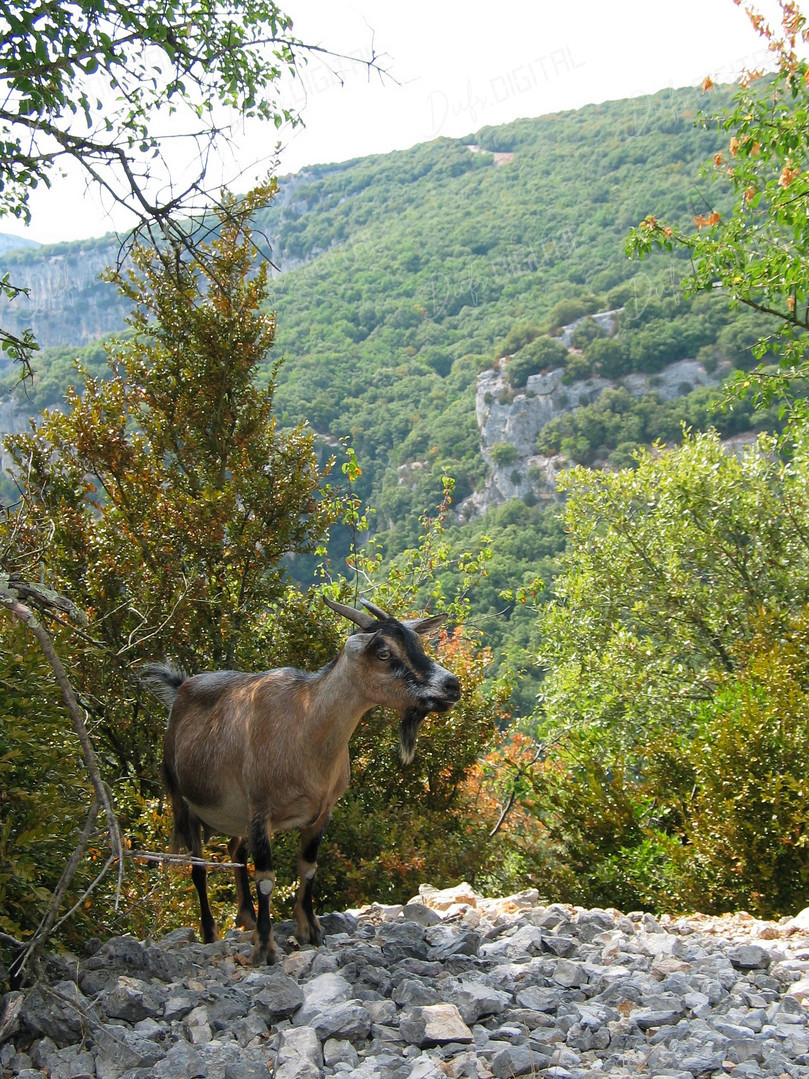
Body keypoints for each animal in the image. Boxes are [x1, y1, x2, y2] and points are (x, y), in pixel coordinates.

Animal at [142, 597, 461, 964]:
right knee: (198, 868)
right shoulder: (260, 810)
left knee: (235, 851)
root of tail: (180, 688)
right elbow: (266, 879)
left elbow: (308, 868)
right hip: (183, 800)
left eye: (418, 643)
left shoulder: (322, 812)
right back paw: (210, 932)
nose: (452, 686)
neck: (305, 727)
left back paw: (247, 917)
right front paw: (265, 948)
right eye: (384, 652)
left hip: (236, 815)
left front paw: (310, 930)